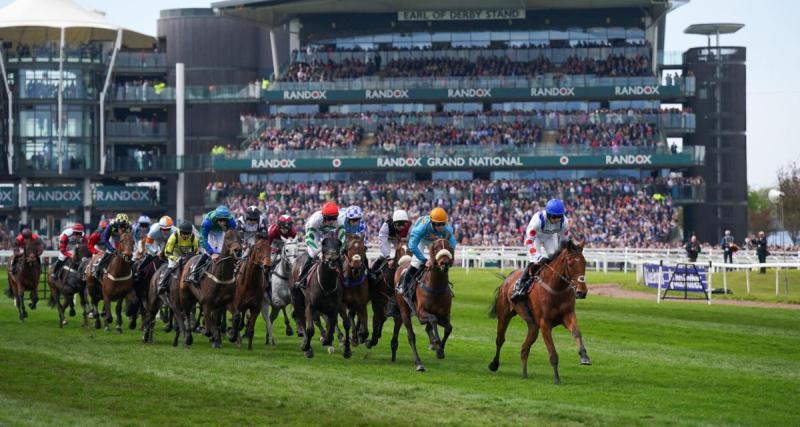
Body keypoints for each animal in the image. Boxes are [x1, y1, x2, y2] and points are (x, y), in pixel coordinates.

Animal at [390, 239, 454, 372]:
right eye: (435, 248)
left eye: (449, 247)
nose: (444, 263)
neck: (436, 287)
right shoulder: (421, 313)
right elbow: (433, 319)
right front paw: (437, 344)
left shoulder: (445, 315)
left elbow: (448, 328)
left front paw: (440, 349)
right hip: (404, 309)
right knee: (411, 336)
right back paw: (419, 363)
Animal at [484, 241, 592, 384]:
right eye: (570, 264)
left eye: (584, 263)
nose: (582, 292)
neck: (556, 288)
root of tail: (507, 278)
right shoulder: (545, 323)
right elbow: (552, 352)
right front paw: (557, 378)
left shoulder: (568, 315)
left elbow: (577, 332)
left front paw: (584, 356)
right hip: (504, 314)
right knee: (500, 339)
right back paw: (494, 364)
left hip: (533, 326)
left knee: (524, 348)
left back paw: (524, 374)